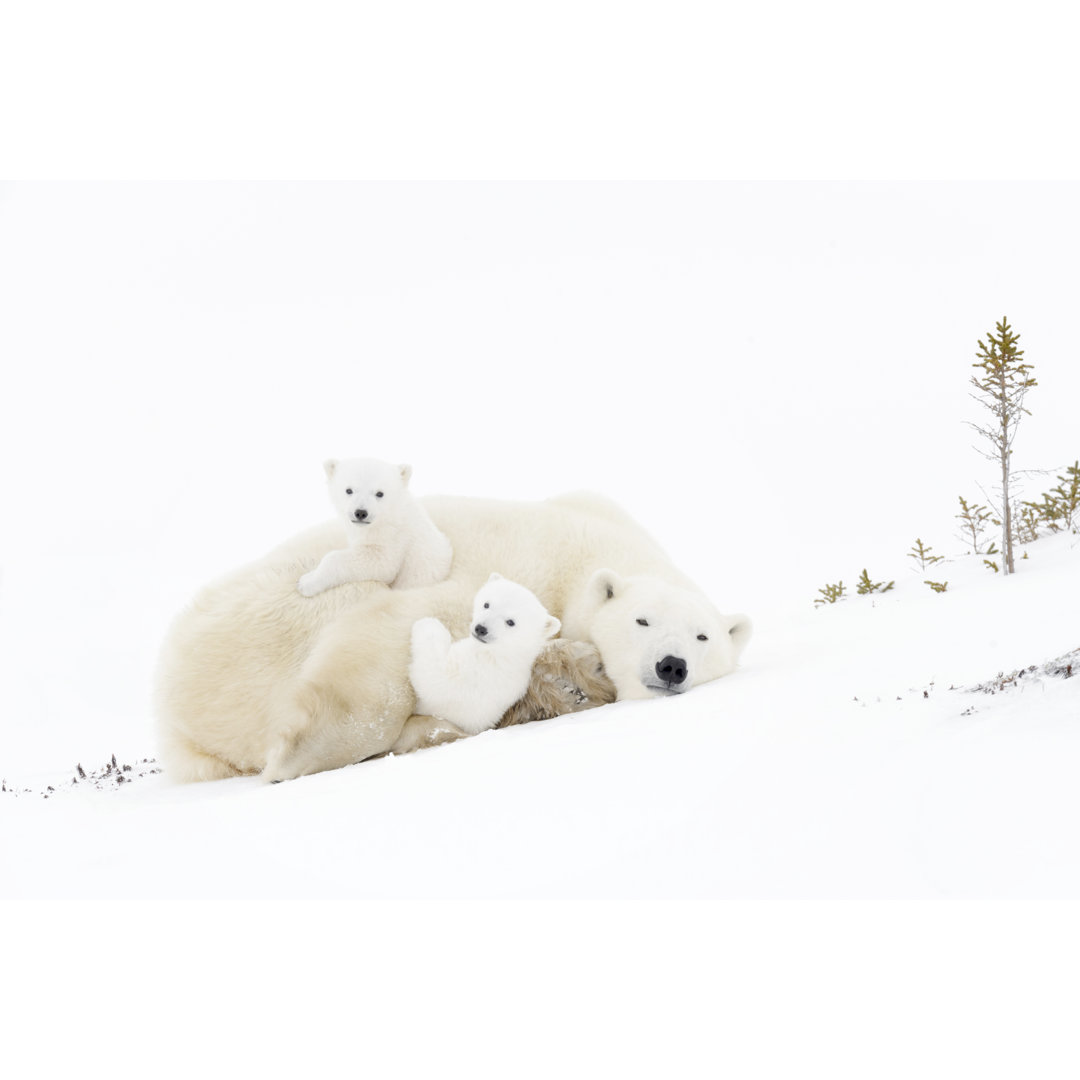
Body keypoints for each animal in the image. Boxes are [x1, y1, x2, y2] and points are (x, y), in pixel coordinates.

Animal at [295, 451, 451, 596]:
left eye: (379, 493)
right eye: (349, 490)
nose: (361, 513)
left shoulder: (395, 539)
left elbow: (380, 564)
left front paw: (306, 583)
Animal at [408, 574, 561, 734]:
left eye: (510, 622)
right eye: (487, 604)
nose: (481, 629)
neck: (499, 654)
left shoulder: (471, 675)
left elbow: (433, 677)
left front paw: (427, 623)